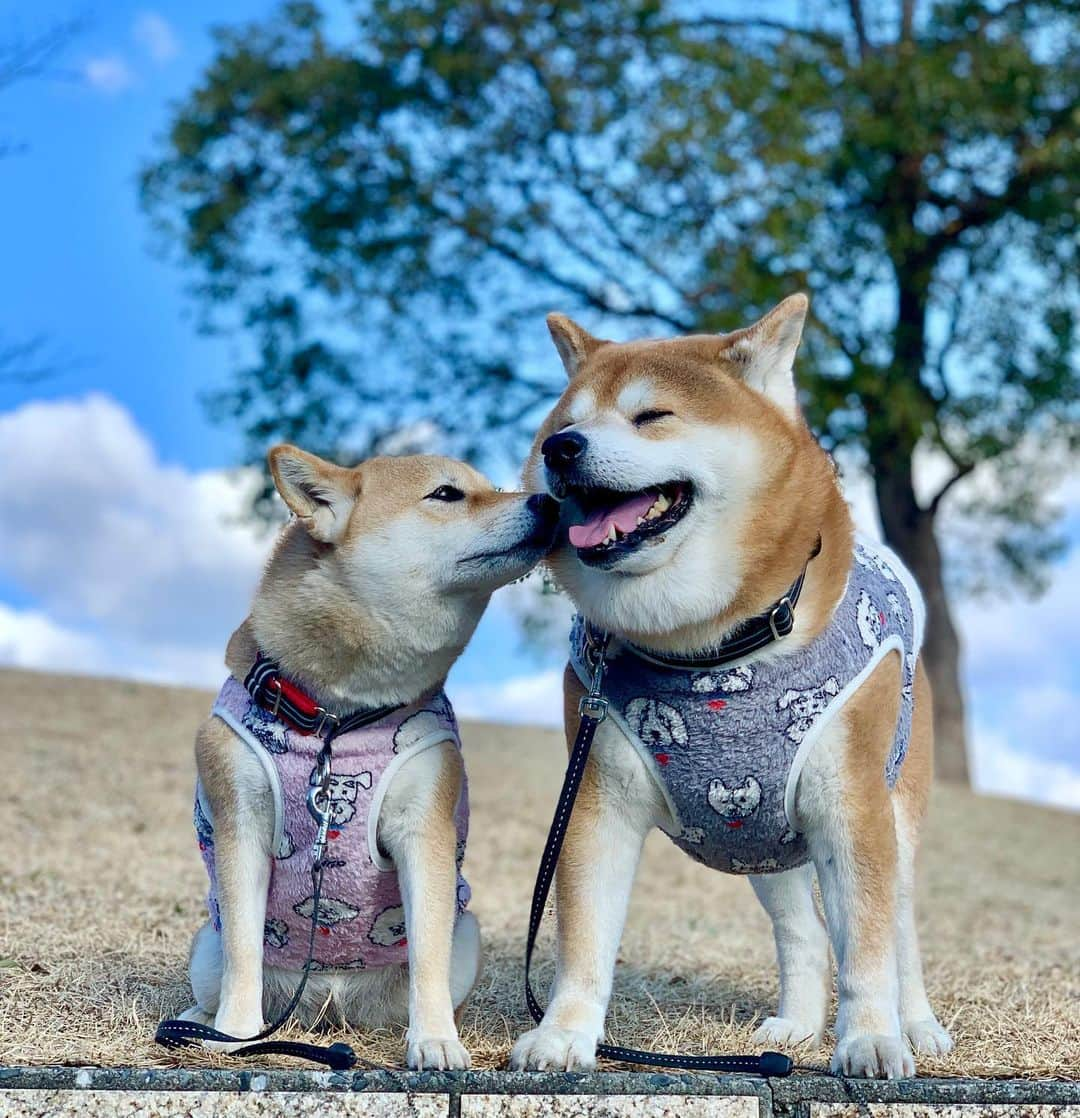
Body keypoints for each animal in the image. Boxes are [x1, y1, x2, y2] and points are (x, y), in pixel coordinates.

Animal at [178, 442, 559, 1064]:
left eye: (492, 486)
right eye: (447, 494)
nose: (550, 502)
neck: (336, 716)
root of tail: (330, 1007)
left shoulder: (424, 832)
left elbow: (427, 953)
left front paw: (434, 1042)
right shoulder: (240, 826)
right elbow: (243, 949)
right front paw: (234, 1035)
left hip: (468, 935)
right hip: (202, 946)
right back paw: (200, 1021)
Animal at [516, 292, 957, 1077]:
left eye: (652, 416)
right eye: (565, 424)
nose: (559, 450)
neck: (711, 651)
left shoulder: (852, 805)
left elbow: (869, 945)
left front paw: (872, 1039)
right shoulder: (595, 801)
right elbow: (585, 937)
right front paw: (564, 1034)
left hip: (889, 809)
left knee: (898, 931)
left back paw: (917, 1027)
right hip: (756, 835)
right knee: (804, 930)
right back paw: (796, 1029)